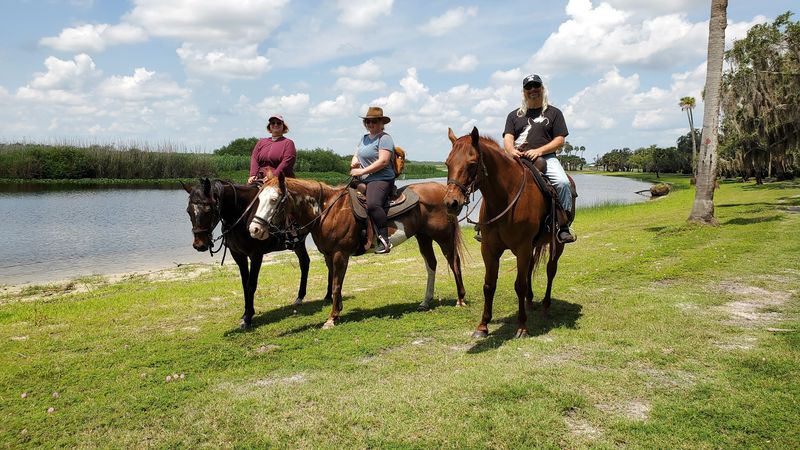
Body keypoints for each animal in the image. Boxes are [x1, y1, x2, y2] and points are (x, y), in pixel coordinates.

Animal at [183, 178, 319, 329]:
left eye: (208, 209)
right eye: (189, 211)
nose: (199, 245)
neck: (242, 215)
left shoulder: (256, 255)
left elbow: (251, 284)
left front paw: (248, 318)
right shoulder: (238, 255)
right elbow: (244, 284)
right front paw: (245, 314)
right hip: (298, 244)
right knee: (304, 263)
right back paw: (300, 297)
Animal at [248, 174, 466, 329]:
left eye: (274, 199)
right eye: (259, 199)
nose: (254, 229)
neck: (327, 210)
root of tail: (444, 190)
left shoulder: (339, 254)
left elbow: (336, 285)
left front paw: (331, 318)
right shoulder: (328, 256)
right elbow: (335, 284)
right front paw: (338, 311)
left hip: (443, 237)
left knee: (454, 262)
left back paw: (460, 299)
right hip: (423, 237)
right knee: (431, 264)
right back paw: (425, 301)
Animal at [443, 127, 572, 338]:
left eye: (472, 164)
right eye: (447, 163)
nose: (451, 203)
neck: (505, 197)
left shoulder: (522, 248)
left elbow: (519, 285)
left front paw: (522, 326)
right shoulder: (489, 249)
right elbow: (489, 285)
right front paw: (482, 326)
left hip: (557, 245)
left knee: (550, 271)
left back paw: (545, 307)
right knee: (530, 270)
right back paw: (529, 302)